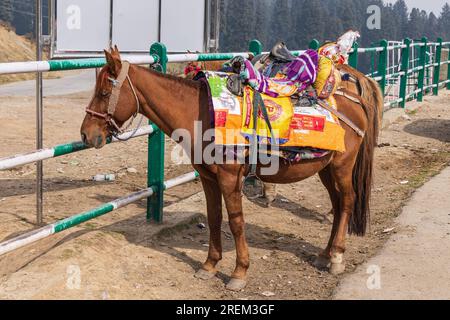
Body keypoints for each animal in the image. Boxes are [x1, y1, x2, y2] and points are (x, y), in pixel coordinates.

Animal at [80, 47, 380, 290]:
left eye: (104, 92)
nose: (86, 134)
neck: (202, 113)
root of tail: (354, 99)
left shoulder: (229, 177)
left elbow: (236, 222)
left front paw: (239, 272)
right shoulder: (208, 178)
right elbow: (214, 218)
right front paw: (210, 265)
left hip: (342, 166)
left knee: (348, 201)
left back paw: (337, 257)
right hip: (326, 169)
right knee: (338, 205)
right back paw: (325, 254)